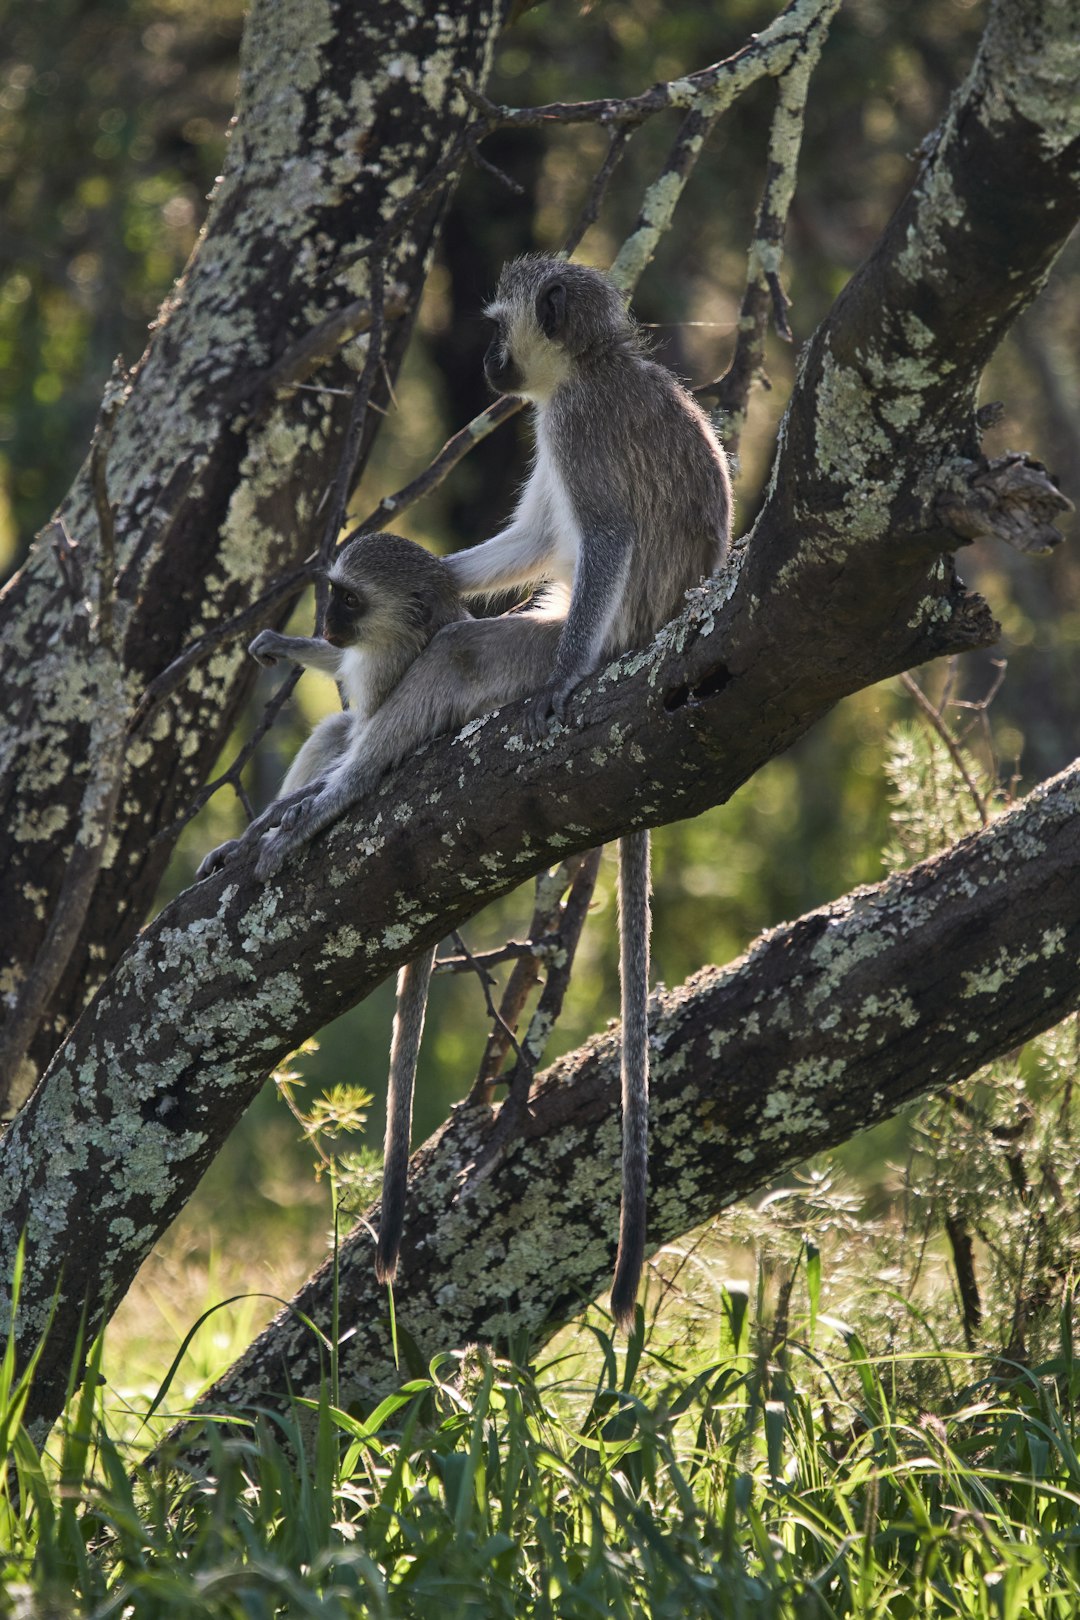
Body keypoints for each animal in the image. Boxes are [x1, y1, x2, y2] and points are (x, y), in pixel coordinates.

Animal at [249, 259, 731, 1334]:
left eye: (500, 327)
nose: (486, 367)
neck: (596, 364)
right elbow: (529, 540)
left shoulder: (575, 426)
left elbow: (598, 536)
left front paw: (560, 685)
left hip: (553, 640)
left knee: (468, 654)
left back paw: (325, 806)